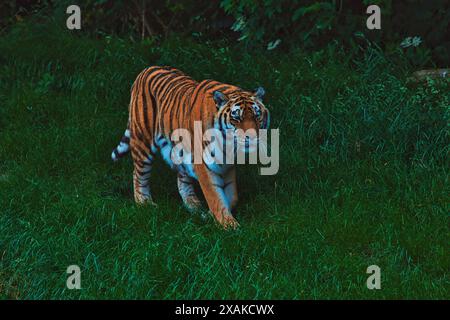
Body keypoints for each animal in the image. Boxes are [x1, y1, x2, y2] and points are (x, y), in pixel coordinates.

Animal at [111, 66, 268, 229]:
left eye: (257, 116)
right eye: (236, 118)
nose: (252, 137)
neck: (228, 146)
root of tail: (147, 69)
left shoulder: (227, 166)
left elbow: (232, 196)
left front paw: (210, 215)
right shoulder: (204, 164)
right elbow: (215, 196)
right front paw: (229, 225)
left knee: (182, 179)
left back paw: (193, 205)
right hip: (143, 141)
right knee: (138, 174)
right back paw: (144, 203)